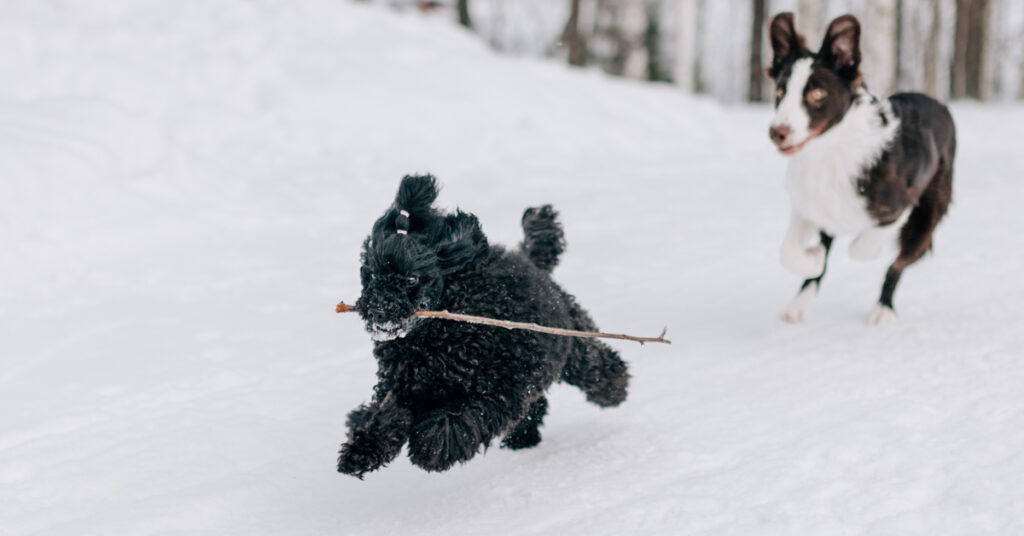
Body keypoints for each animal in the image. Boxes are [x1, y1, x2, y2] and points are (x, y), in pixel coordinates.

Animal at [337, 176, 622, 477]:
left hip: (571, 341)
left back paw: (615, 388)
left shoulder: (501, 383)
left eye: (412, 279)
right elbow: (386, 416)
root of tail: (531, 261)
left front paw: (431, 447)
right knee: (534, 405)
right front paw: (360, 450)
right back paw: (523, 438)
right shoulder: (405, 384)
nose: (378, 308)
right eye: (370, 274)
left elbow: (461, 416)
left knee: (594, 363)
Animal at [770, 11, 954, 323]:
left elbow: (862, 247)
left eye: (817, 94)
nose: (777, 133)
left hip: (928, 213)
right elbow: (788, 252)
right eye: (781, 91)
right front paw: (813, 259)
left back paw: (883, 308)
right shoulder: (809, 204)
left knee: (898, 264)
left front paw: (866, 250)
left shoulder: (897, 205)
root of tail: (940, 105)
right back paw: (799, 304)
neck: (829, 151)